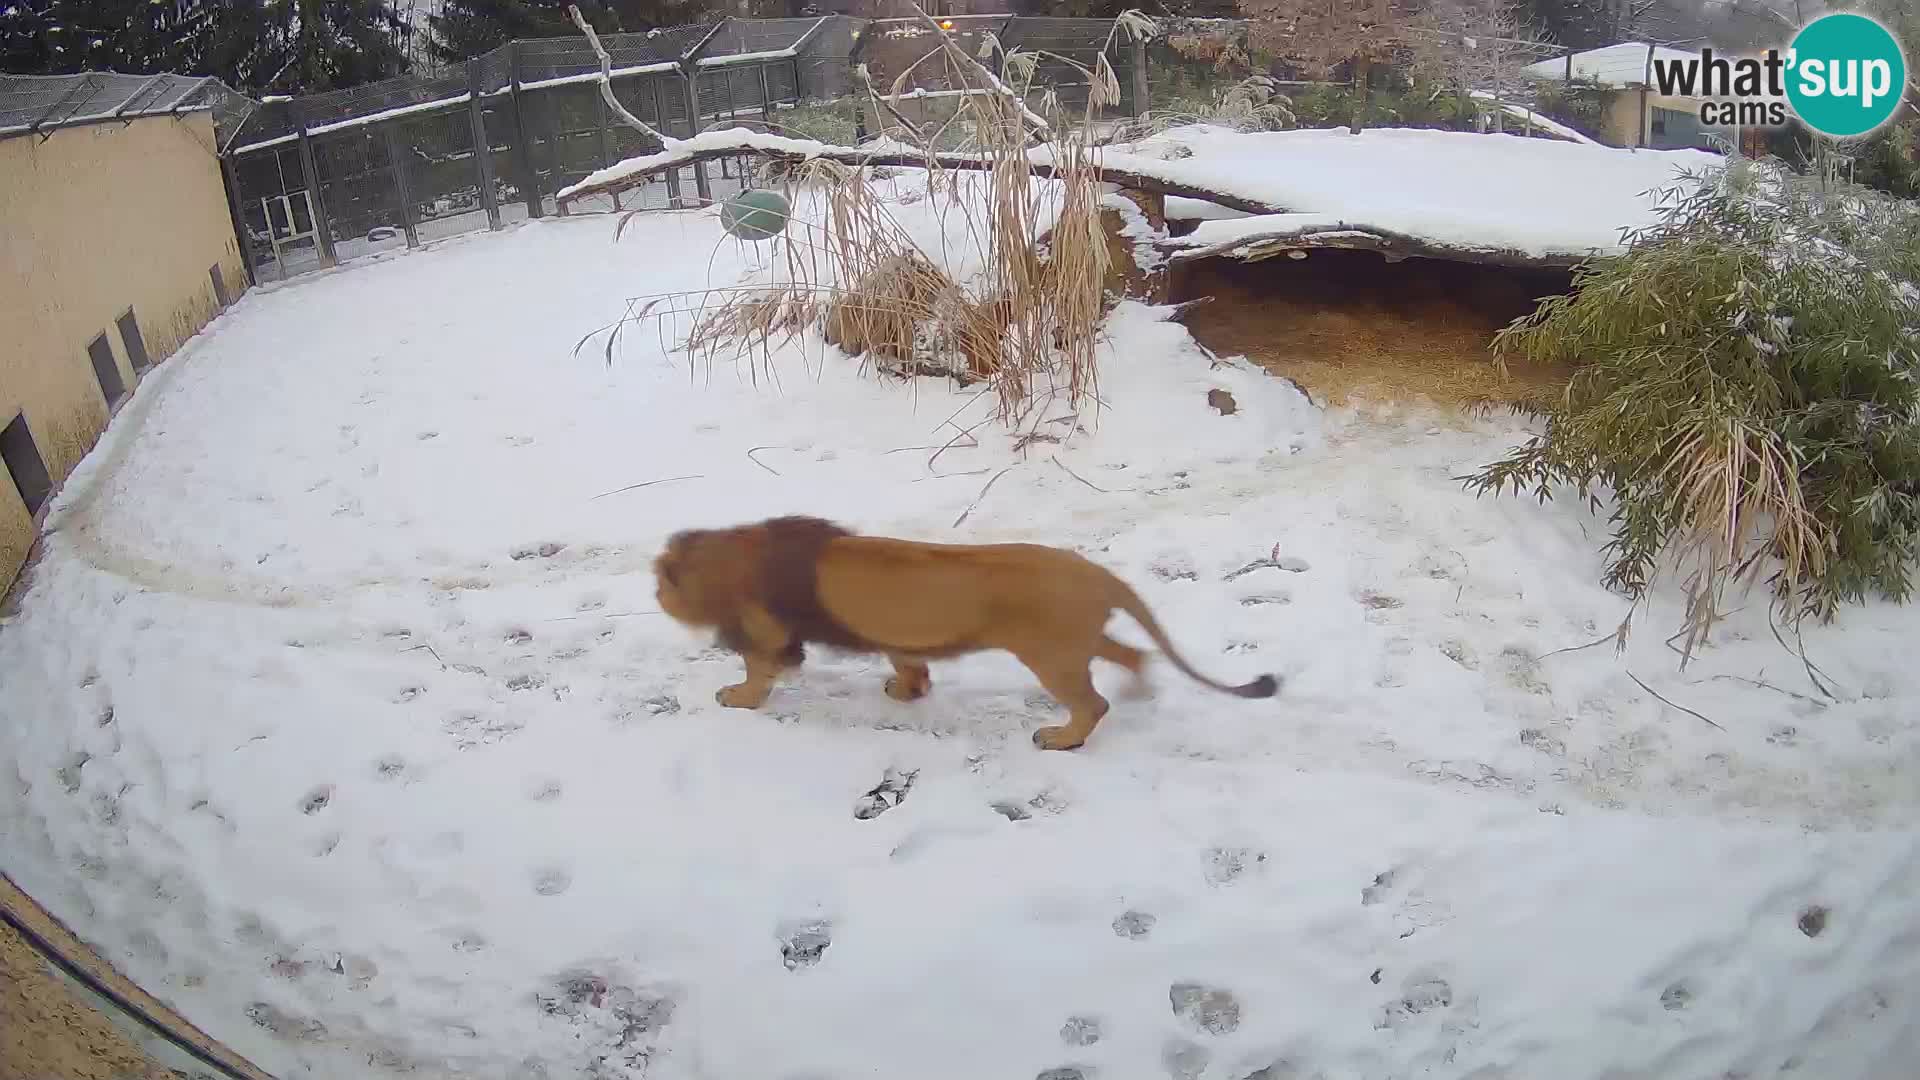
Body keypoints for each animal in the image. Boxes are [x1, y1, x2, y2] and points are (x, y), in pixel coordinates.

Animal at [651, 515, 1280, 750]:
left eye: (661, 580)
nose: (654, 595)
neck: (736, 550)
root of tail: (1099, 575)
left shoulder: (769, 634)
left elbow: (758, 671)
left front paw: (735, 698)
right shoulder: (896, 637)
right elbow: (907, 662)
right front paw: (907, 692)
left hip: (1051, 656)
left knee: (1092, 704)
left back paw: (1060, 737)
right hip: (1074, 641)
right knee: (1135, 654)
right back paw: (1140, 689)